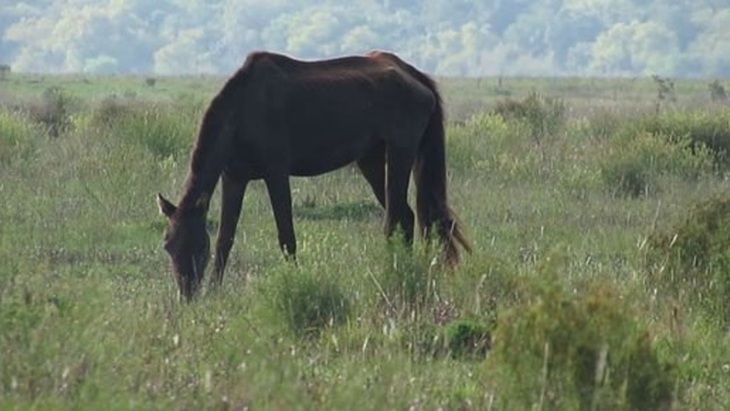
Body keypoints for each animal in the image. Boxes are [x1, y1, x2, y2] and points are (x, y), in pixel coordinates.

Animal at [156, 50, 470, 302]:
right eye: (168, 246)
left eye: (199, 246)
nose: (186, 295)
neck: (243, 108)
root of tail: (415, 76)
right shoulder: (234, 178)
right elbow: (225, 238)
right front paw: (215, 291)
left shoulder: (276, 173)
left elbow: (286, 236)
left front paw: (294, 283)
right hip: (370, 160)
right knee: (406, 217)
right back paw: (404, 269)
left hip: (400, 153)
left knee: (394, 218)